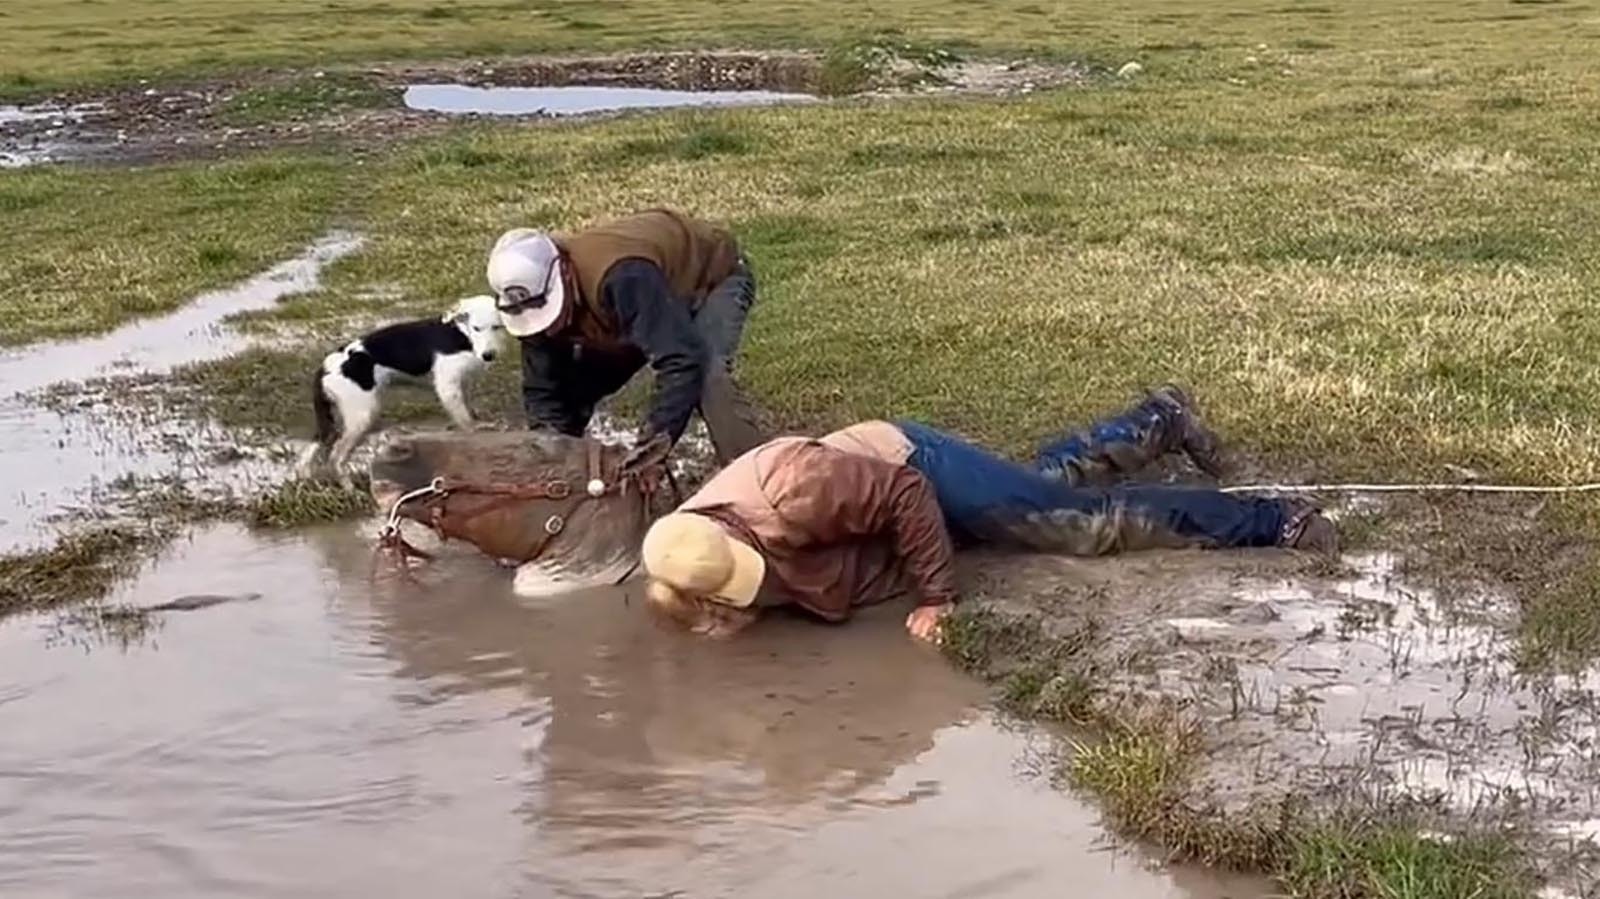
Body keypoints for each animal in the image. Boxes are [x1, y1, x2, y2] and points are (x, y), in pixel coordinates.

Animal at [297, 294, 502, 476]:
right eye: (476, 328)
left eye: (497, 327)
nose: (488, 355)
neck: (461, 334)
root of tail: (326, 367)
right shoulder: (447, 385)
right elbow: (466, 421)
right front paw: (476, 430)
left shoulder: (463, 383)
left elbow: (468, 409)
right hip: (362, 415)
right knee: (336, 458)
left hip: (337, 419)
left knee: (313, 451)